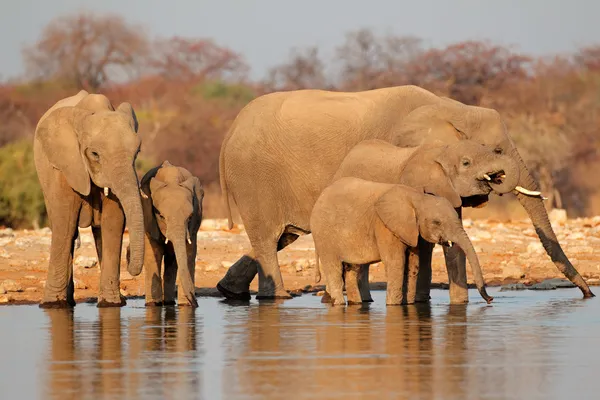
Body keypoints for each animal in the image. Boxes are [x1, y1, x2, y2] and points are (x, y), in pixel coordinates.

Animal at [33, 90, 144, 308]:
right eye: (95, 154)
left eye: (137, 152)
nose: (129, 254)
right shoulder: (65, 165)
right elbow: (65, 225)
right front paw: (51, 305)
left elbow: (113, 223)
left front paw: (111, 304)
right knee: (66, 231)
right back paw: (66, 302)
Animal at [134, 161, 204, 308]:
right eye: (161, 216)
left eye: (190, 217)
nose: (195, 302)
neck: (172, 179)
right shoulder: (149, 219)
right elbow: (153, 253)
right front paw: (153, 304)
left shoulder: (193, 225)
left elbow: (189, 253)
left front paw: (185, 305)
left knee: (172, 259)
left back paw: (170, 302)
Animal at [310, 178, 492, 306]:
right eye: (437, 222)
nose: (490, 299)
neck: (417, 198)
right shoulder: (385, 226)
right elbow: (396, 262)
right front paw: (393, 305)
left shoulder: (411, 230)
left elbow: (413, 263)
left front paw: (408, 304)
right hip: (324, 235)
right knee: (333, 268)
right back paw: (340, 304)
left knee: (352, 269)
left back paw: (356, 303)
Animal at [324, 139, 520, 302]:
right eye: (466, 163)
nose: (490, 299)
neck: (443, 151)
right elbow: (424, 245)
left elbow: (455, 247)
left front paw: (459, 303)